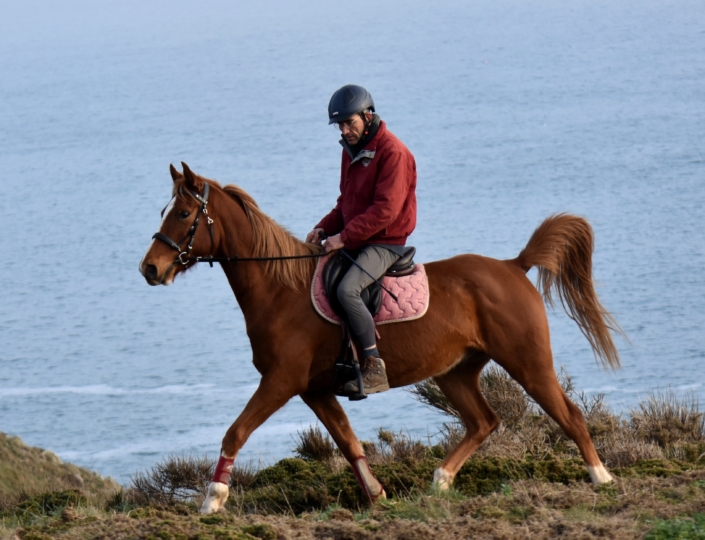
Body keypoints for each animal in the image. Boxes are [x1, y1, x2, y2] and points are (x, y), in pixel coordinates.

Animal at [138, 162, 620, 512]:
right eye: (164, 212)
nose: (150, 269)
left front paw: (212, 500)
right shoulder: (314, 389)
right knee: (484, 421)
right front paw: (378, 495)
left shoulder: (280, 382)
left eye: (183, 213)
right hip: (456, 372)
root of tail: (512, 265)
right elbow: (349, 442)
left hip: (527, 362)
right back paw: (440, 482)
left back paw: (601, 478)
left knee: (569, 415)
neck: (281, 289)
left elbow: (235, 432)